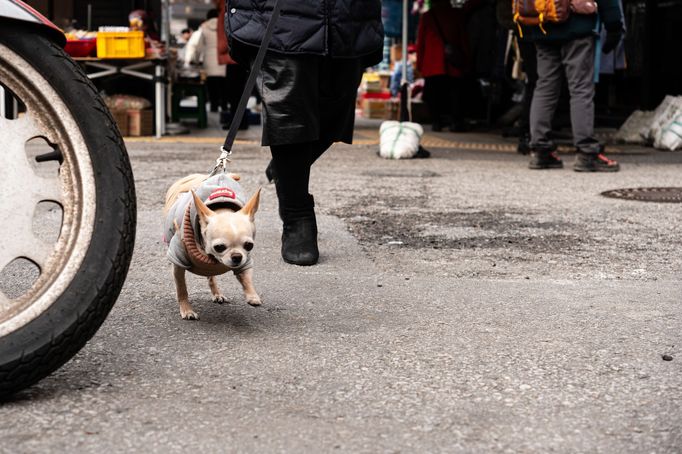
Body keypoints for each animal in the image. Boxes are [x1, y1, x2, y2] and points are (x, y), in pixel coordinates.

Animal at [163, 173, 262, 320]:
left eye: (249, 245)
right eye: (219, 247)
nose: (237, 256)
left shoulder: (245, 261)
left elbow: (246, 277)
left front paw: (252, 295)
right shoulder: (178, 263)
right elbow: (182, 289)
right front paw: (187, 310)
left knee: (211, 277)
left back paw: (217, 294)